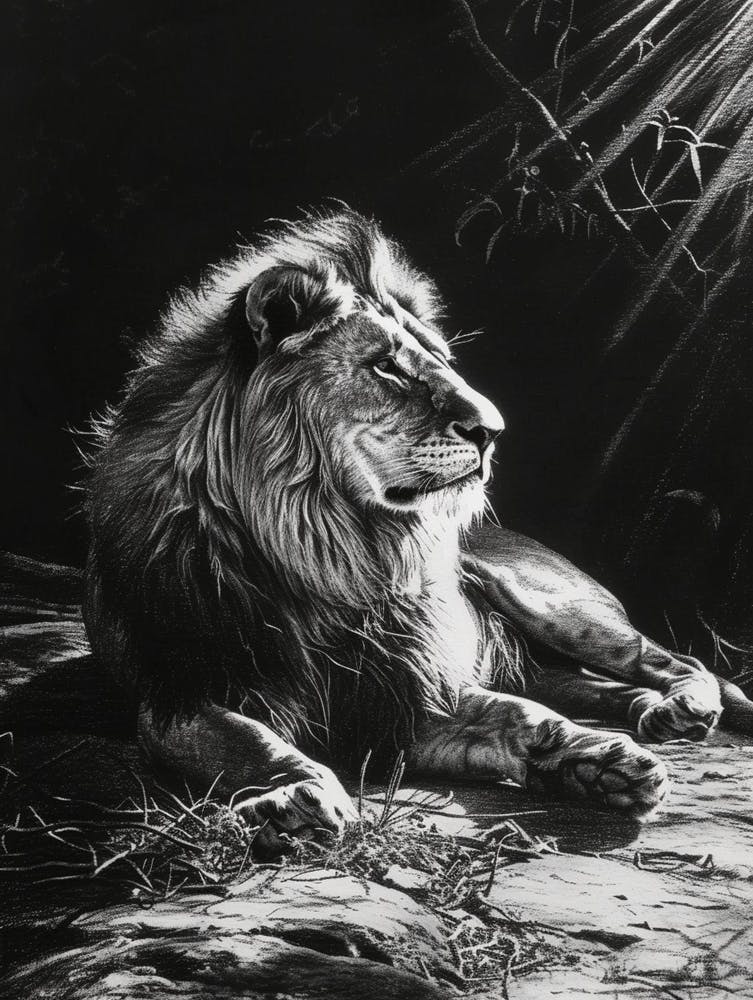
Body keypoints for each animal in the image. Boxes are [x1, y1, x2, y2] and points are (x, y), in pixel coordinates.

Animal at [84, 207, 727, 851]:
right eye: (386, 365)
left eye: (441, 360)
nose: (494, 429)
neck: (332, 548)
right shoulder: (182, 696)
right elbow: (255, 743)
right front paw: (294, 797)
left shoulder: (407, 688)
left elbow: (518, 715)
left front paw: (603, 763)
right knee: (600, 686)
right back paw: (652, 714)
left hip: (549, 605)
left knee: (675, 660)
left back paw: (685, 708)